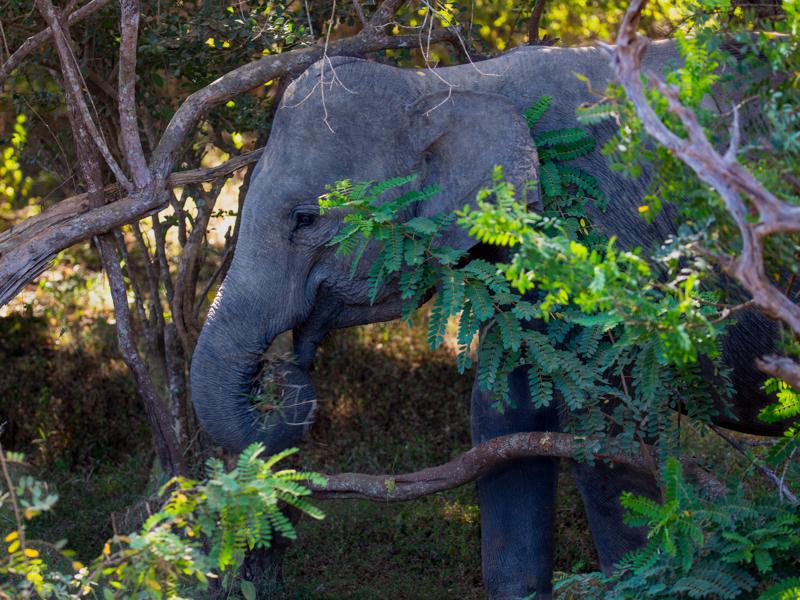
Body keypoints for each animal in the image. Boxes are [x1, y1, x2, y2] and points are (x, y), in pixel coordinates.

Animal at [190, 40, 781, 599]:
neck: (449, 85)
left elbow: (606, 421)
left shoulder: (610, 242)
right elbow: (504, 409)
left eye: (305, 219)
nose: (283, 370)